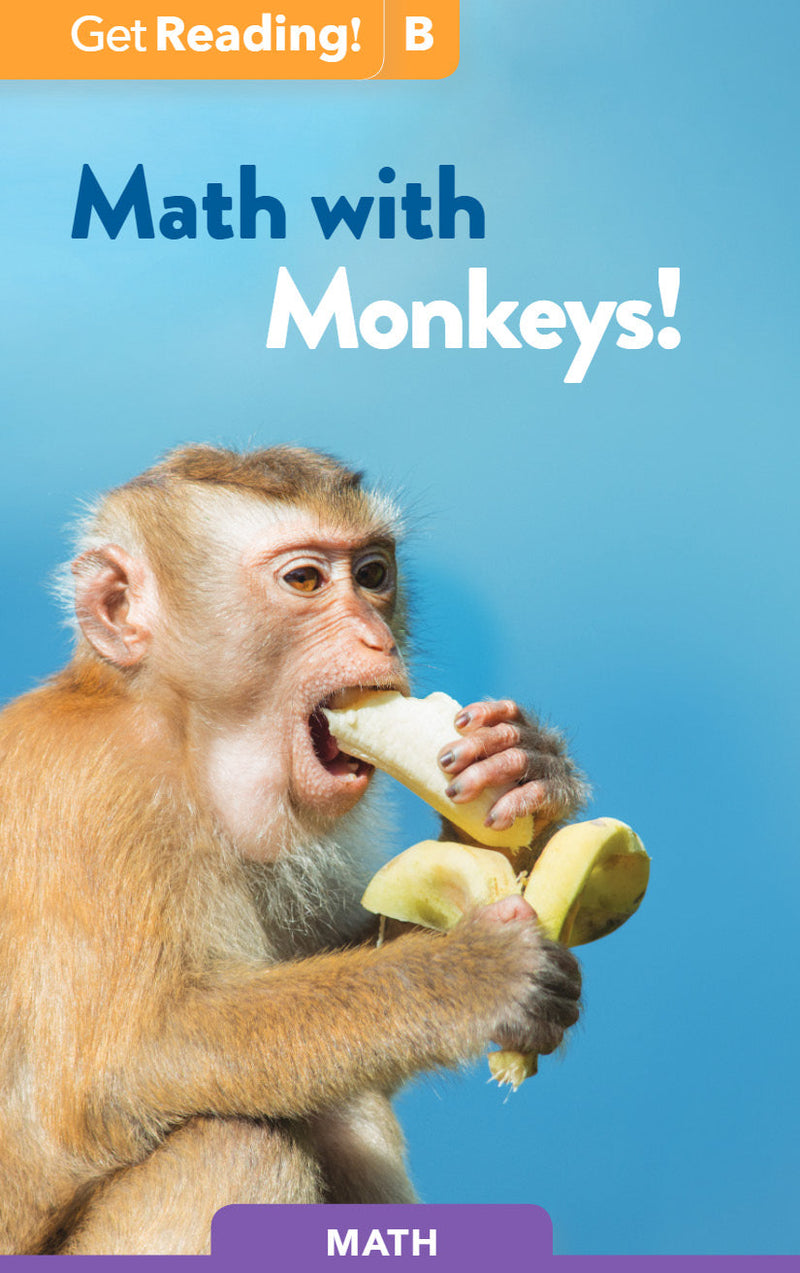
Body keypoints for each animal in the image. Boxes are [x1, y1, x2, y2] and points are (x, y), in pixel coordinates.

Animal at [0, 444, 588, 1255]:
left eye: (373, 574)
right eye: (305, 581)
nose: (378, 639)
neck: (176, 727)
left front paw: (518, 768)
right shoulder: (100, 797)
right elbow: (126, 1060)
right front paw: (468, 976)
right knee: (231, 1146)